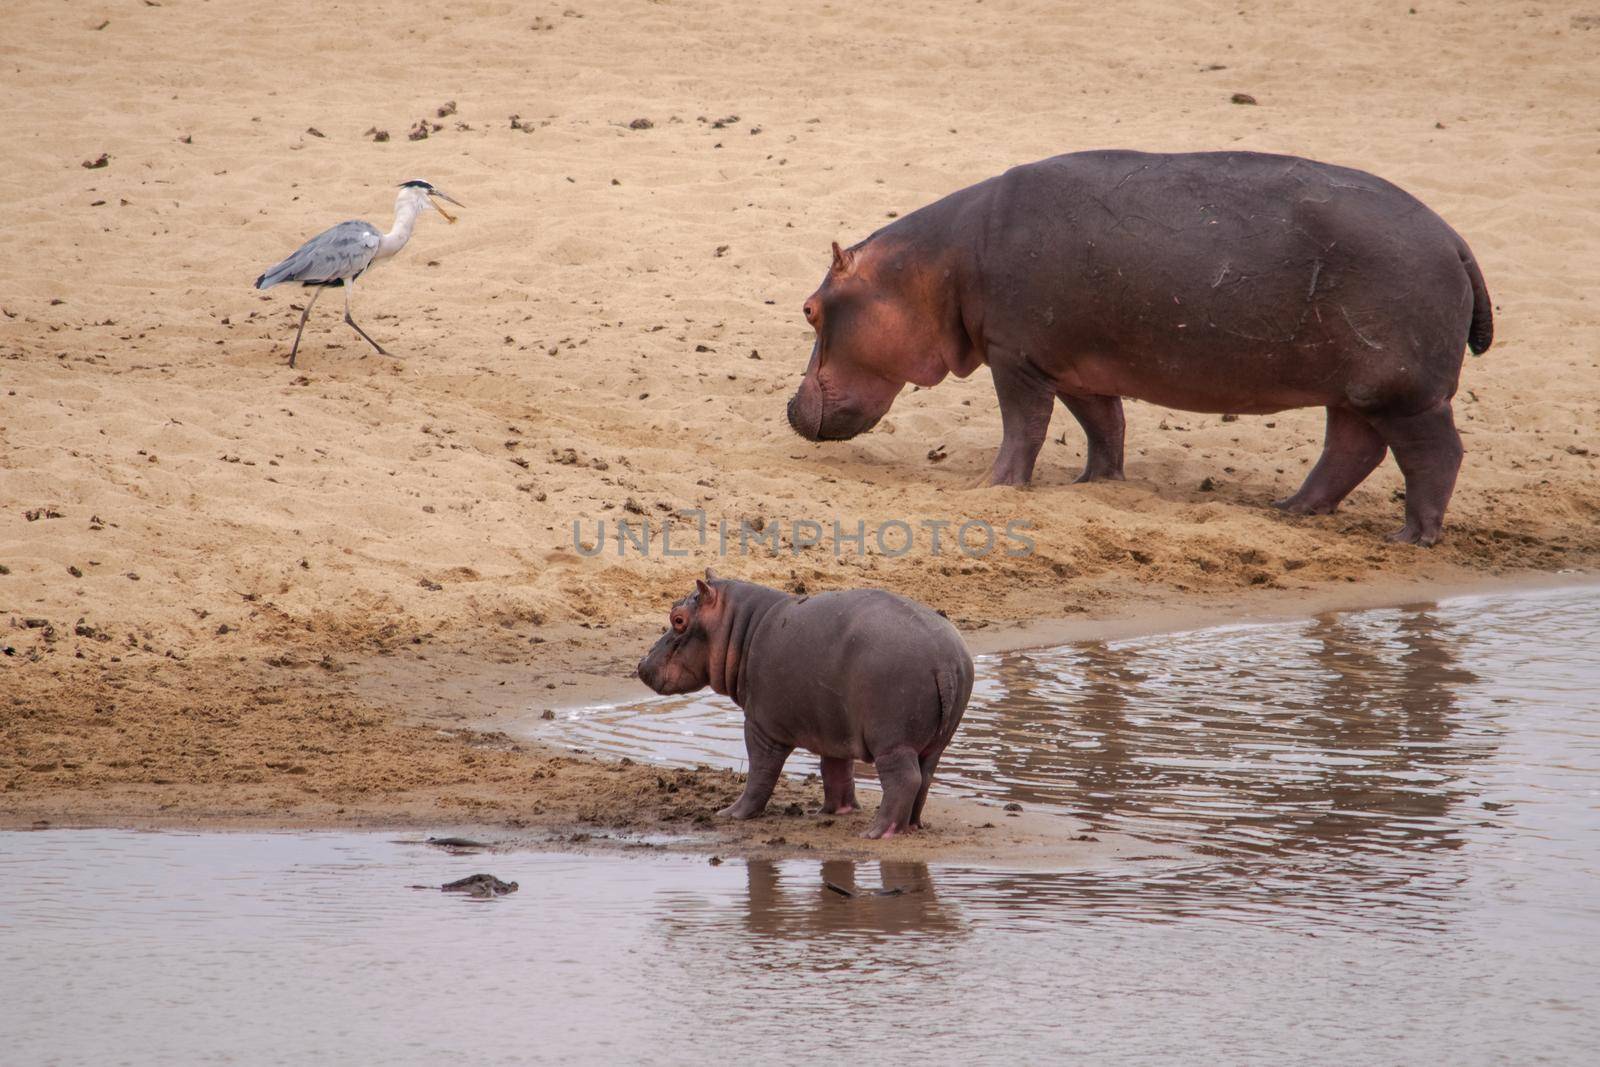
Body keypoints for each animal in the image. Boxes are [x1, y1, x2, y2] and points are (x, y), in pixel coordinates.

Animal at [636, 572, 972, 838]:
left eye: (678, 619)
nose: (641, 663)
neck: (740, 627)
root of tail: (945, 661)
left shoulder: (761, 726)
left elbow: (761, 771)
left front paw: (731, 814)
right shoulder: (834, 729)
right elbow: (835, 771)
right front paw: (833, 812)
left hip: (892, 741)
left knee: (904, 780)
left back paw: (876, 832)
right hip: (933, 743)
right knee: (924, 778)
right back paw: (910, 826)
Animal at [780, 151, 1491, 543]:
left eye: (809, 309)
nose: (789, 409)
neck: (934, 265)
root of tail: (1456, 239)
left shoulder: (1015, 358)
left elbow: (1024, 427)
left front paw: (993, 487)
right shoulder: (1074, 367)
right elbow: (1105, 424)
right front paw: (1094, 483)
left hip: (1403, 393)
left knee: (1433, 456)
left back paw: (1410, 538)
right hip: (1356, 392)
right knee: (1351, 449)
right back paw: (1289, 510)